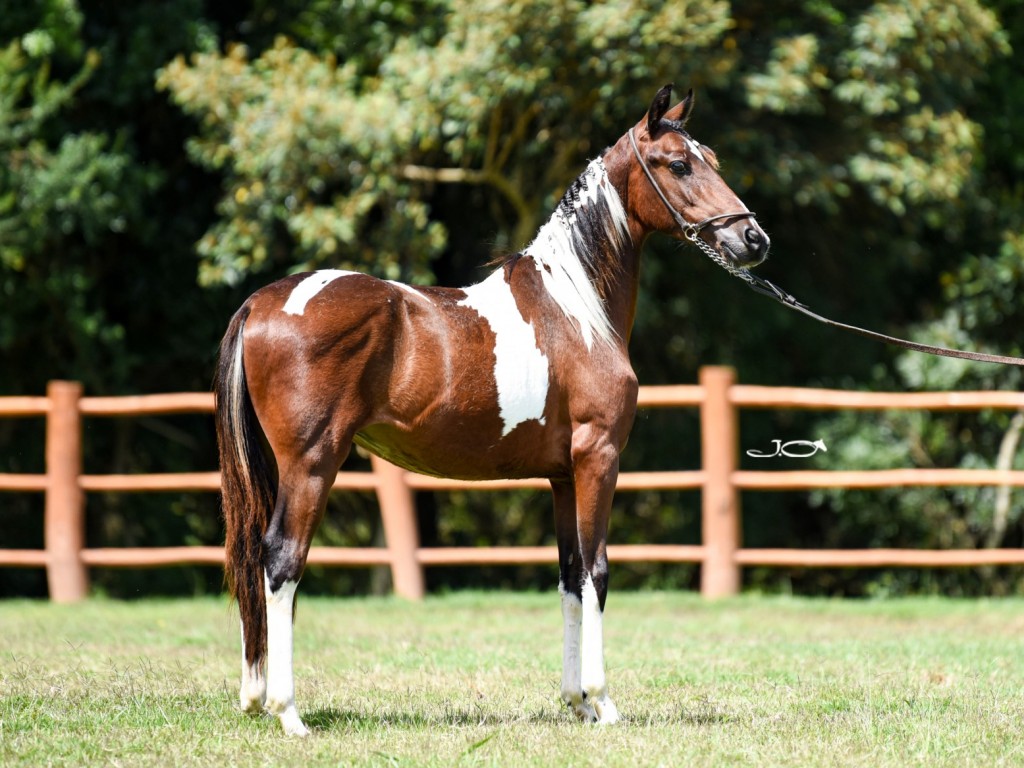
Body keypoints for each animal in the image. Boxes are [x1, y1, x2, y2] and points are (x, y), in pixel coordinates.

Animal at [214, 81, 770, 737]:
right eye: (679, 164)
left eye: (712, 159)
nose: (754, 240)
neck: (576, 306)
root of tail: (262, 302)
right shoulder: (598, 458)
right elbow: (598, 573)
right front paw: (604, 703)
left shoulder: (562, 476)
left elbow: (569, 577)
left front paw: (577, 701)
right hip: (311, 464)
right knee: (281, 562)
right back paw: (288, 712)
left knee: (257, 561)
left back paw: (256, 698)